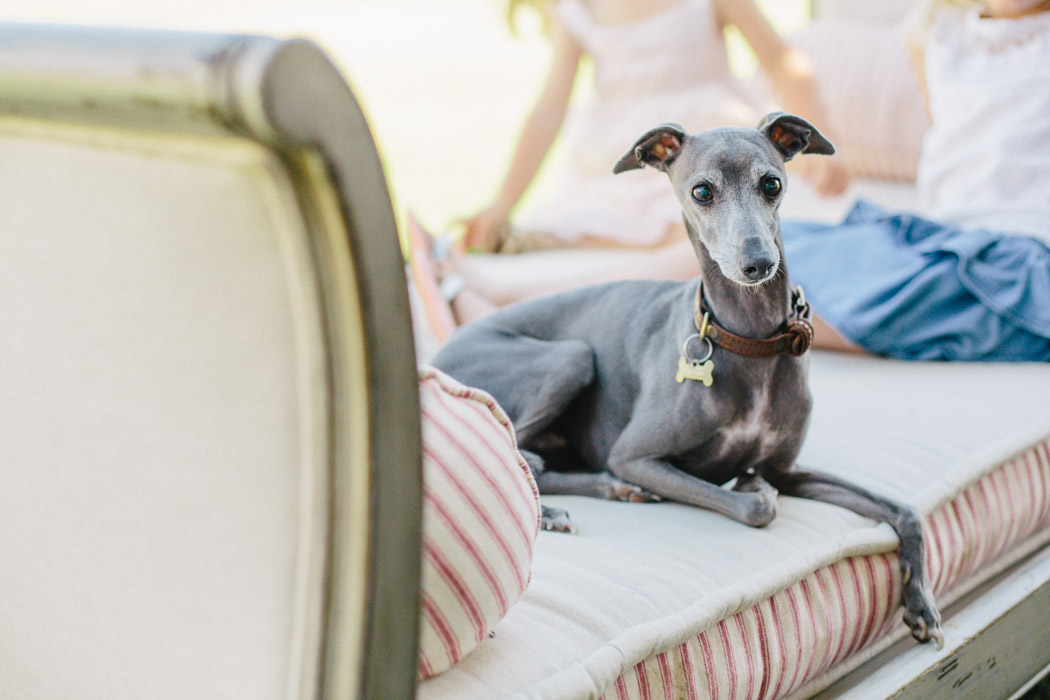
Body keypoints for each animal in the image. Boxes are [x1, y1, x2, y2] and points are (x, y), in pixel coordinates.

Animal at [432, 113, 943, 647]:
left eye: (772, 183)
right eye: (702, 191)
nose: (758, 263)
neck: (750, 341)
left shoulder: (788, 469)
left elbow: (905, 510)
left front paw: (921, 602)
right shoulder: (634, 455)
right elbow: (756, 507)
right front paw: (751, 488)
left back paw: (614, 492)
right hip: (571, 357)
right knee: (523, 456)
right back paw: (564, 505)